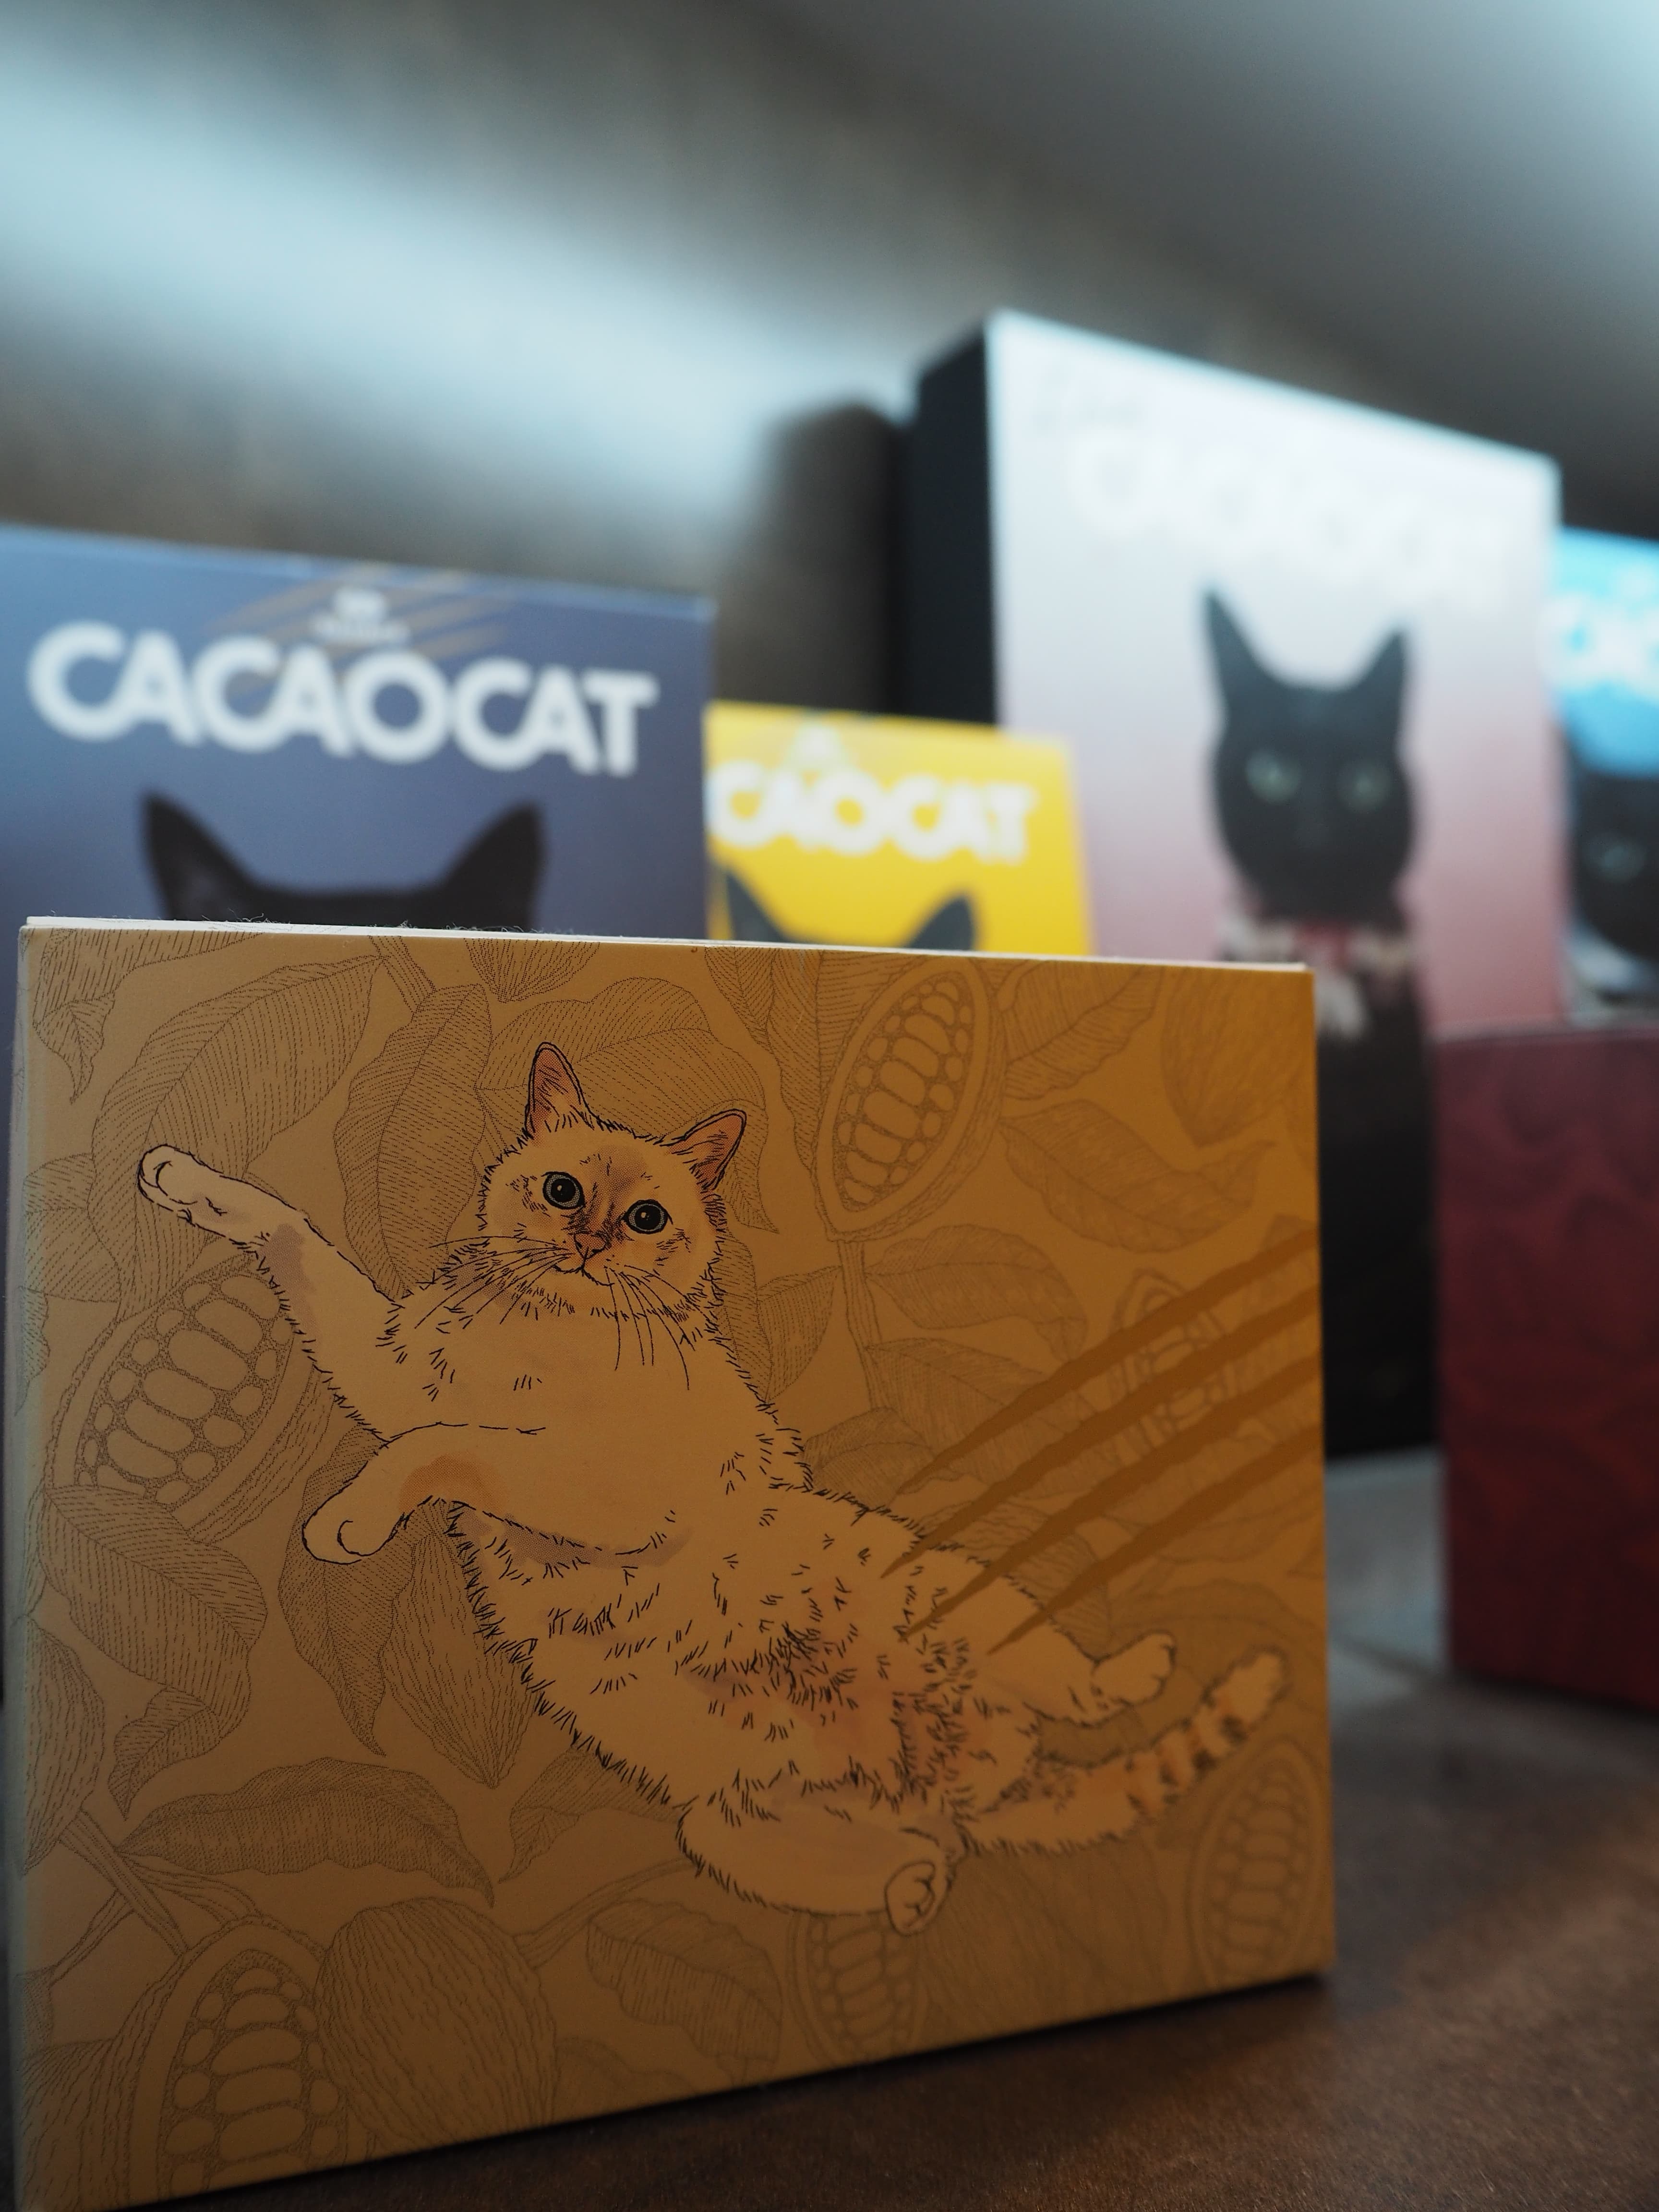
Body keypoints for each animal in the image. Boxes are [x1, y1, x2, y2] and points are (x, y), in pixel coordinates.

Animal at [137, 1039, 1284, 1936]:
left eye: (646, 1216)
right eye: (563, 1190)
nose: (591, 1239)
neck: (539, 1328)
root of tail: (971, 1773)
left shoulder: (593, 1484)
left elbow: (445, 1445)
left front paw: (345, 1522)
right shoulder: (389, 1376)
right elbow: (296, 1239)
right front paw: (179, 1178)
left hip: (961, 1600)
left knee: (1079, 1693)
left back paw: (1142, 1664)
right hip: (728, 1833)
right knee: (936, 1854)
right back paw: (914, 1893)